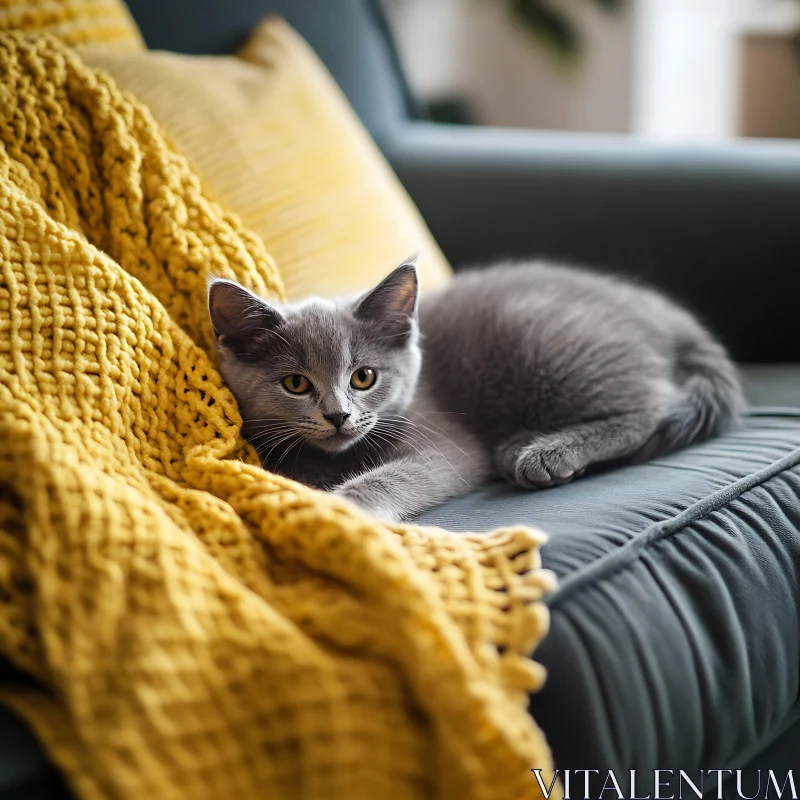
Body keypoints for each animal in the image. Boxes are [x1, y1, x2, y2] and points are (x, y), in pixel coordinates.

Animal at [206, 262, 744, 520]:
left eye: (364, 377)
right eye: (296, 383)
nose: (338, 415)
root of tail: (666, 314)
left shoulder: (443, 438)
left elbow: (404, 474)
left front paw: (341, 505)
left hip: (536, 333)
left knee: (653, 403)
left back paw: (543, 452)